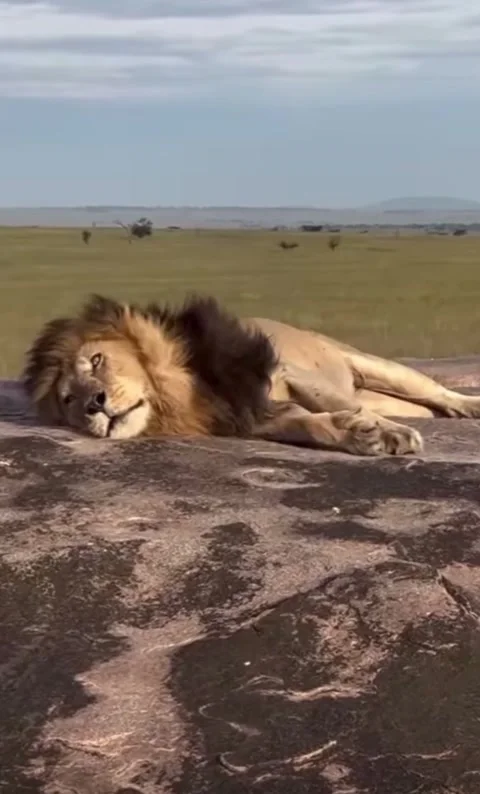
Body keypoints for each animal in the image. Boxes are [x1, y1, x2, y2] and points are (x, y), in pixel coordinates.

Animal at [21, 293, 480, 456]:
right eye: (69, 400)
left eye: (97, 361)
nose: (94, 405)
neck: (174, 393)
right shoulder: (248, 415)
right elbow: (309, 424)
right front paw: (360, 434)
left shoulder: (284, 373)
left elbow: (335, 402)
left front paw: (388, 433)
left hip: (374, 366)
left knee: (438, 392)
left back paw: (469, 407)